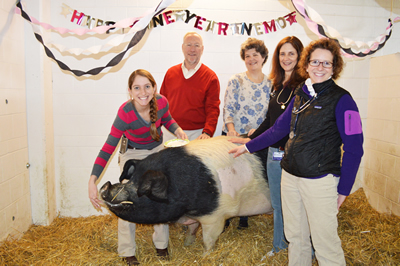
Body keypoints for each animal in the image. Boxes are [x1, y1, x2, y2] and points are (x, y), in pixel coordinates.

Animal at [99, 136, 272, 250]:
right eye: (131, 179)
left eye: (142, 188)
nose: (104, 187)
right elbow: (192, 228)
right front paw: (187, 244)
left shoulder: (215, 215)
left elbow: (208, 239)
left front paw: (205, 255)